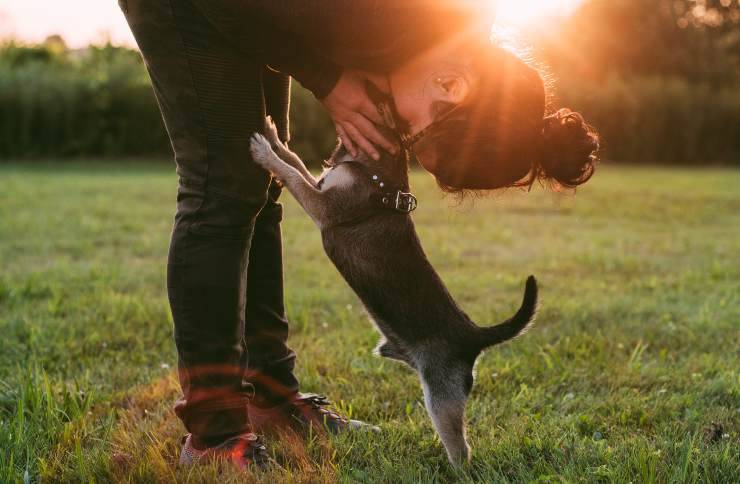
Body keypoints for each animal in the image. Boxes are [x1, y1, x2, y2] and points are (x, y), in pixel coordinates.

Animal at [250, 117, 536, 466]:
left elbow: (291, 174)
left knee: (461, 449)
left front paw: (264, 152)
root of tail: (473, 335)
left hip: (442, 396)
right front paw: (274, 137)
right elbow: (294, 160)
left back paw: (455, 468)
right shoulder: (320, 187)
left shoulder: (323, 206)